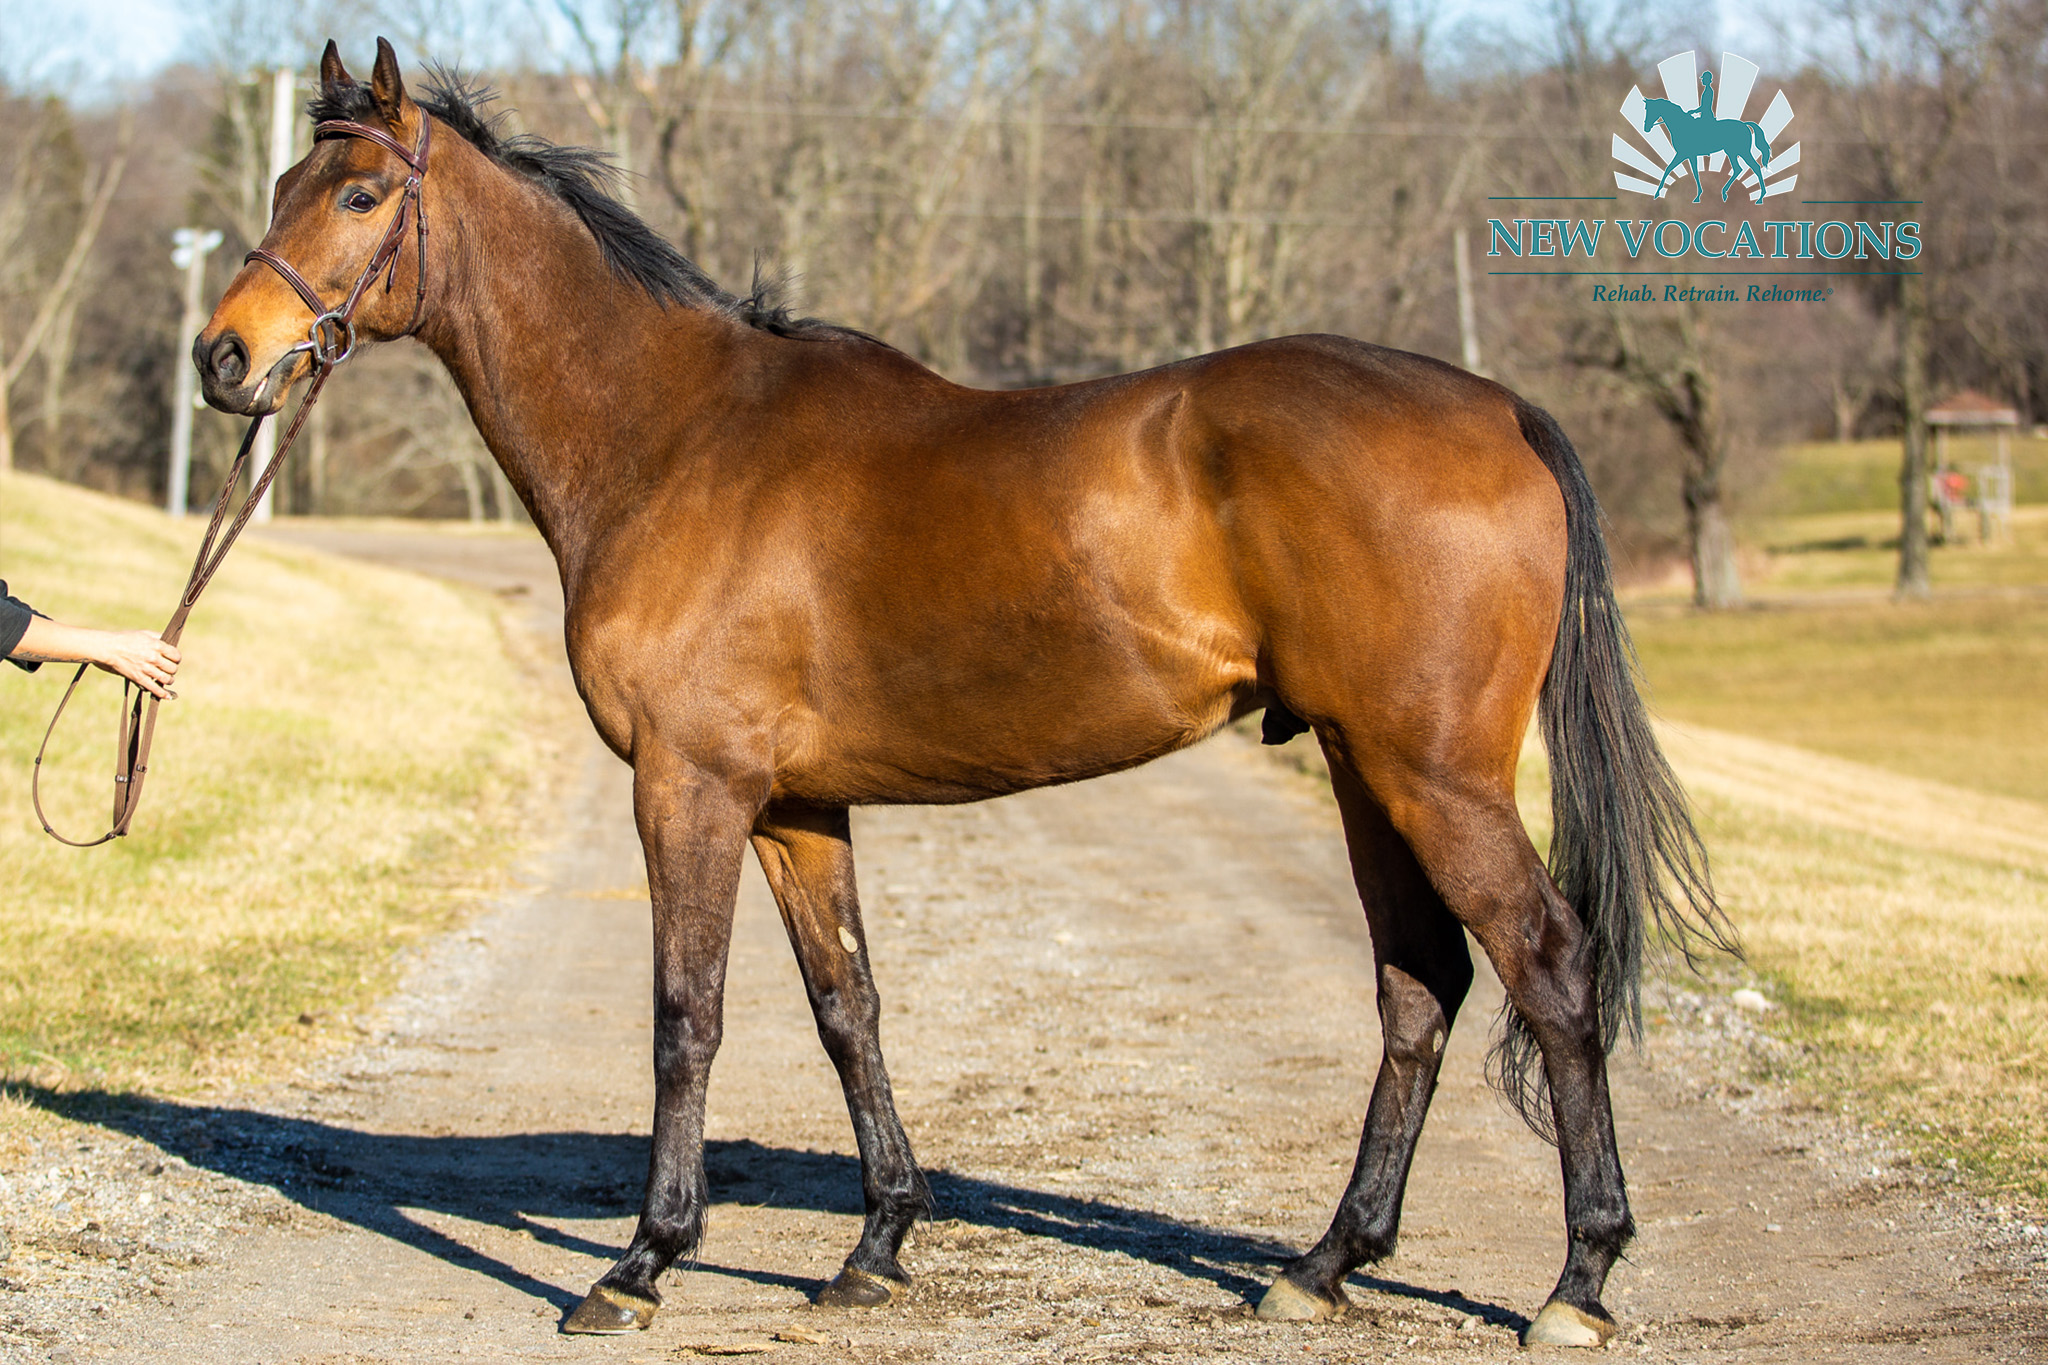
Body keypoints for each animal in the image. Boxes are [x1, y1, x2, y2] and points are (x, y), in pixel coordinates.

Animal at [195, 37, 1728, 1350]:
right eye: (281, 187)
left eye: (360, 192)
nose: (224, 357)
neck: (674, 438)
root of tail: (1498, 409)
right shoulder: (793, 806)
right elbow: (847, 1007)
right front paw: (876, 1245)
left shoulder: (690, 786)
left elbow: (687, 1016)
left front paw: (642, 1262)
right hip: (1366, 769)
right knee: (1421, 987)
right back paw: (1323, 1265)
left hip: (1433, 774)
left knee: (1550, 967)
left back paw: (1578, 1281)